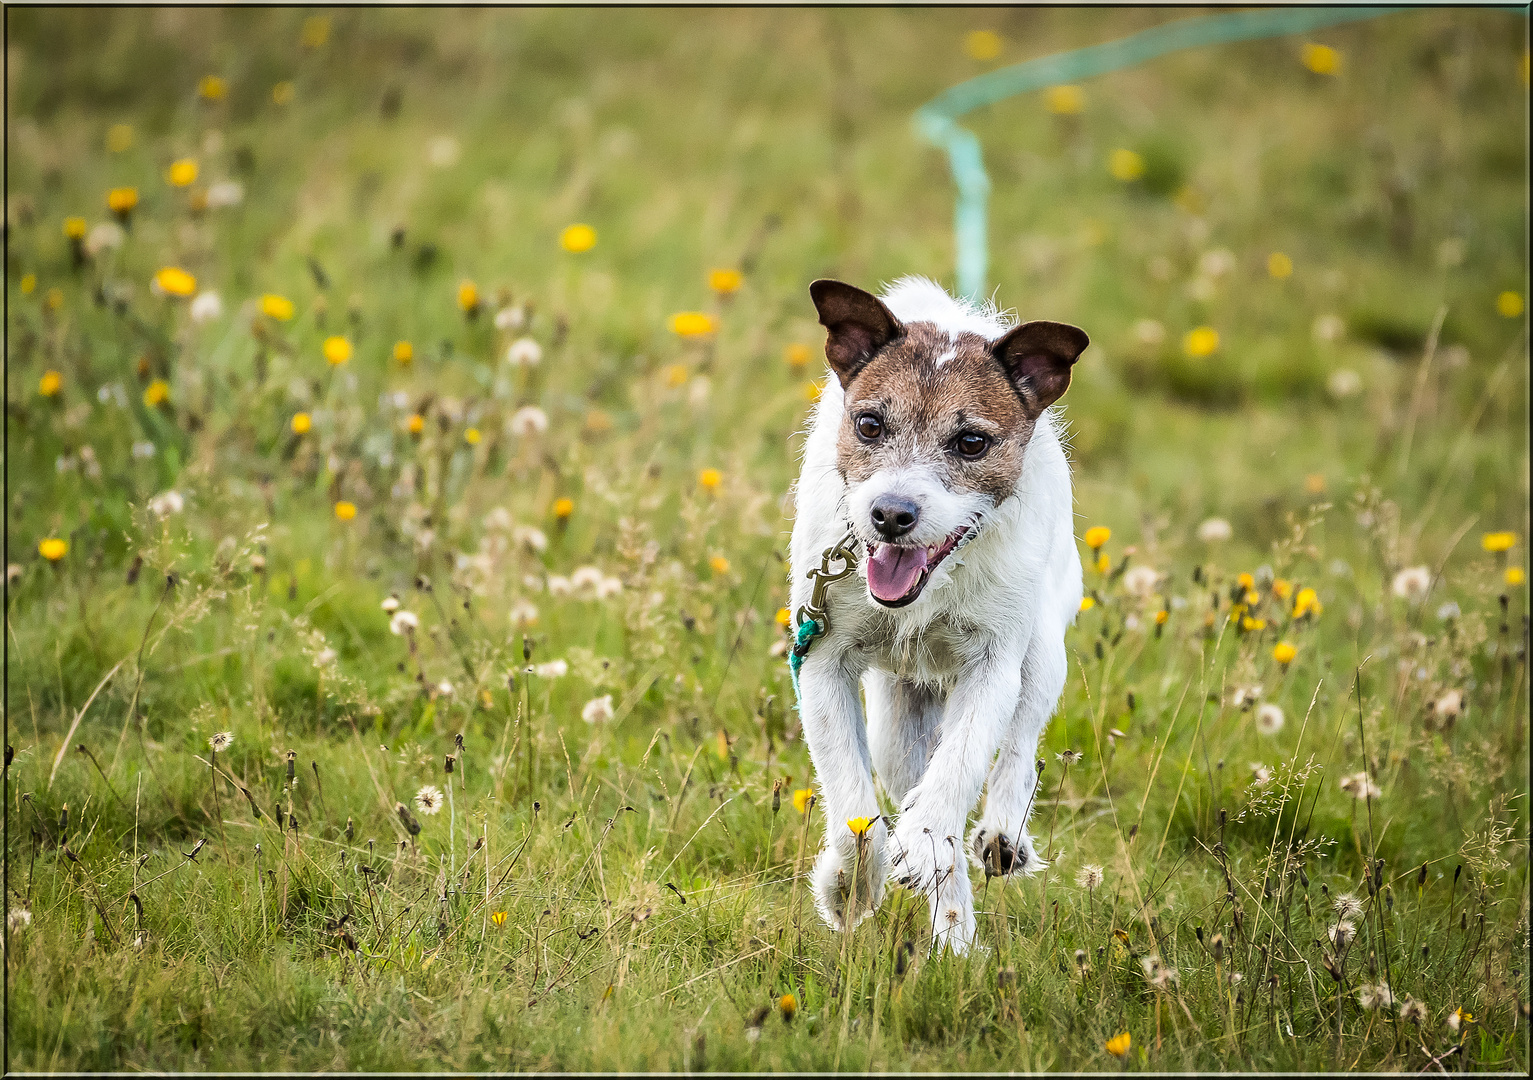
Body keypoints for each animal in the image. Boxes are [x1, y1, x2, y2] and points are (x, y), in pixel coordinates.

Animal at [791, 278, 1091, 949]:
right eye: (869, 424)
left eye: (971, 442)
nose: (891, 514)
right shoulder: (820, 659)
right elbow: (854, 804)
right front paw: (850, 887)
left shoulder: (995, 665)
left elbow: (961, 765)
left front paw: (927, 842)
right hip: (898, 725)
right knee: (911, 776)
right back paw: (952, 931)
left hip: (1043, 651)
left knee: (1018, 745)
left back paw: (998, 841)